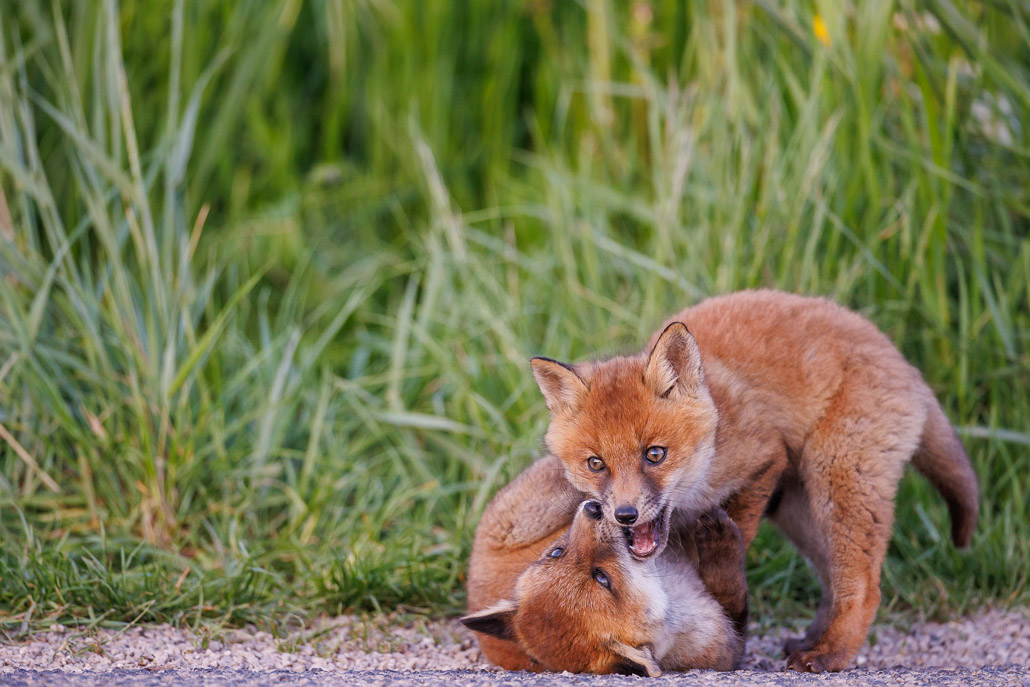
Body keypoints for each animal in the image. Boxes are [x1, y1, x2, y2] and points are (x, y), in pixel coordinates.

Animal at [463, 454, 748, 675]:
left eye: (557, 552)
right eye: (602, 578)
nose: (593, 509)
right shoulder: (728, 644)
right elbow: (733, 588)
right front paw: (718, 539)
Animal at [527, 289, 979, 673]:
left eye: (654, 454)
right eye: (596, 464)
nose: (624, 514)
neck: (716, 439)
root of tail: (903, 362)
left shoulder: (764, 460)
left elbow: (736, 536)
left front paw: (720, 575)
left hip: (837, 479)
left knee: (864, 588)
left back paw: (829, 654)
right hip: (799, 510)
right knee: (832, 579)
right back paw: (812, 640)